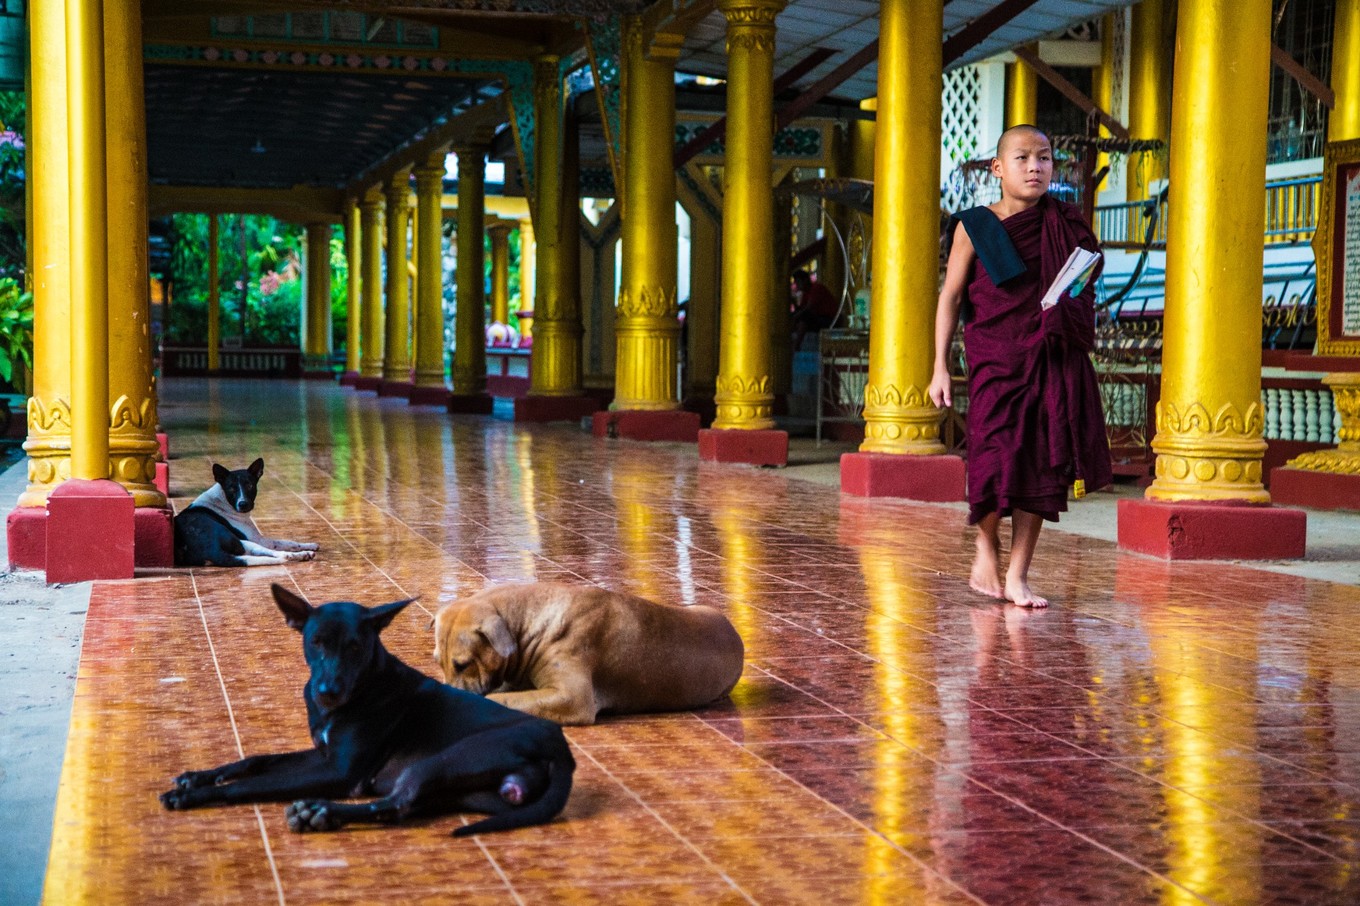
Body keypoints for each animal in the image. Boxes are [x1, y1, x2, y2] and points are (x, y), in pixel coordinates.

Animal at [160, 584, 573, 832]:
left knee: (396, 804)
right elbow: (255, 761)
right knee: (402, 807)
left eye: (356, 647)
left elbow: (251, 784)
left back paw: (321, 812)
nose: (326, 692)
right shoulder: (322, 754)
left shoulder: (339, 771)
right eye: (315, 641)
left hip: (442, 760)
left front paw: (191, 796)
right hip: (466, 791)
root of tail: (563, 754)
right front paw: (198, 776)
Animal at [174, 459, 319, 565]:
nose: (242, 504)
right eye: (231, 488)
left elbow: (292, 542)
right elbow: (286, 542)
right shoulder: (259, 539)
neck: (223, 499)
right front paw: (306, 548)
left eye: (249, 485)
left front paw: (310, 545)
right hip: (244, 542)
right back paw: (300, 555)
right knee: (280, 554)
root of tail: (211, 551)